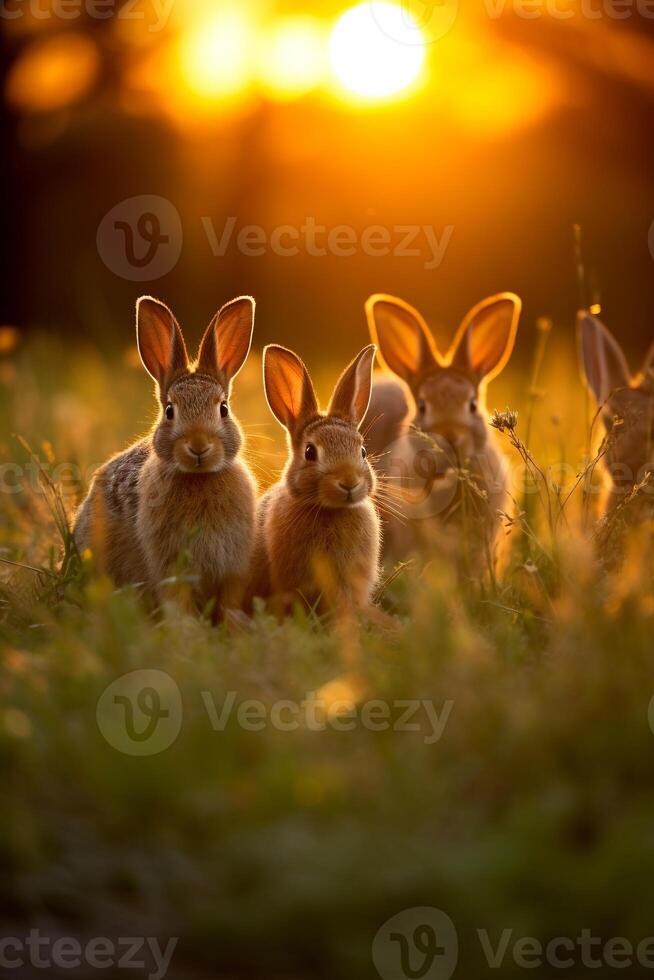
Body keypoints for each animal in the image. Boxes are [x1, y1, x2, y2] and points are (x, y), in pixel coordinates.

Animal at [77, 290, 258, 616]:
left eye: (223, 409)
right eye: (170, 411)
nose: (198, 446)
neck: (200, 477)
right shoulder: (169, 561)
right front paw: (185, 625)